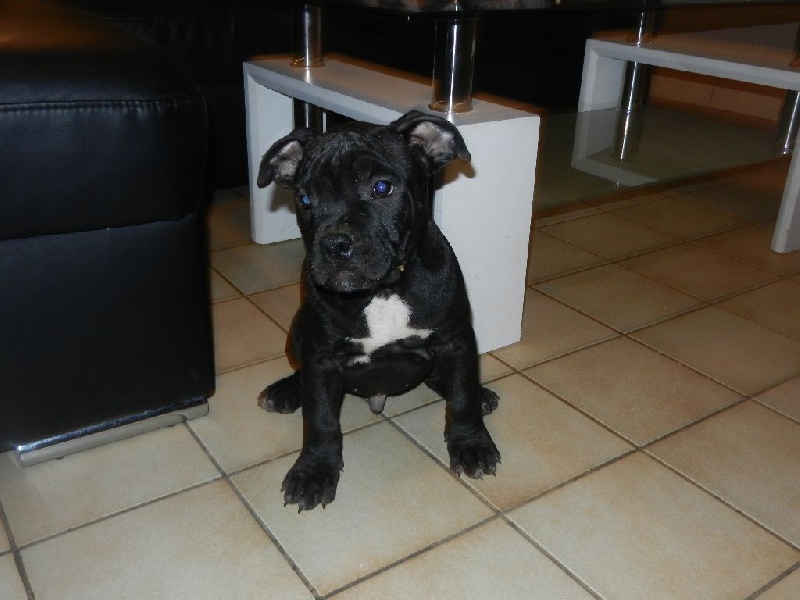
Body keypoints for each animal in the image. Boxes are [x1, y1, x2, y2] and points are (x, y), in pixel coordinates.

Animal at [256, 110, 500, 511]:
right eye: (305, 198)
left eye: (382, 188)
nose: (335, 243)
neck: (383, 290)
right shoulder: (321, 357)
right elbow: (320, 418)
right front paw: (315, 470)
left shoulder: (456, 340)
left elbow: (462, 396)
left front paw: (471, 443)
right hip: (297, 331)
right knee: (301, 373)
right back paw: (287, 391)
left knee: (446, 378)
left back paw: (476, 393)